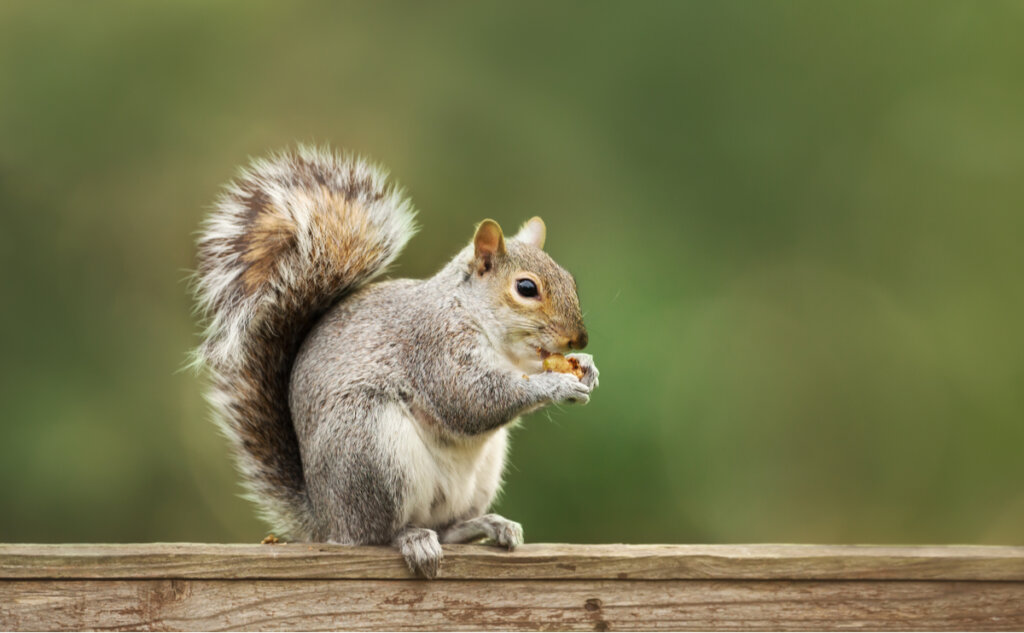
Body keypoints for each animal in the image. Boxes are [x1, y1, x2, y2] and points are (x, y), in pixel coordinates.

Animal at [192, 145, 598, 578]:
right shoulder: (434, 346)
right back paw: (411, 539)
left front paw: (585, 366)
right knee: (379, 532)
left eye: (570, 280)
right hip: (370, 448)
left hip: (478, 474)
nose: (579, 338)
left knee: (447, 527)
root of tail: (326, 520)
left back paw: (485, 525)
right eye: (526, 288)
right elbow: (469, 400)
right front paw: (555, 385)